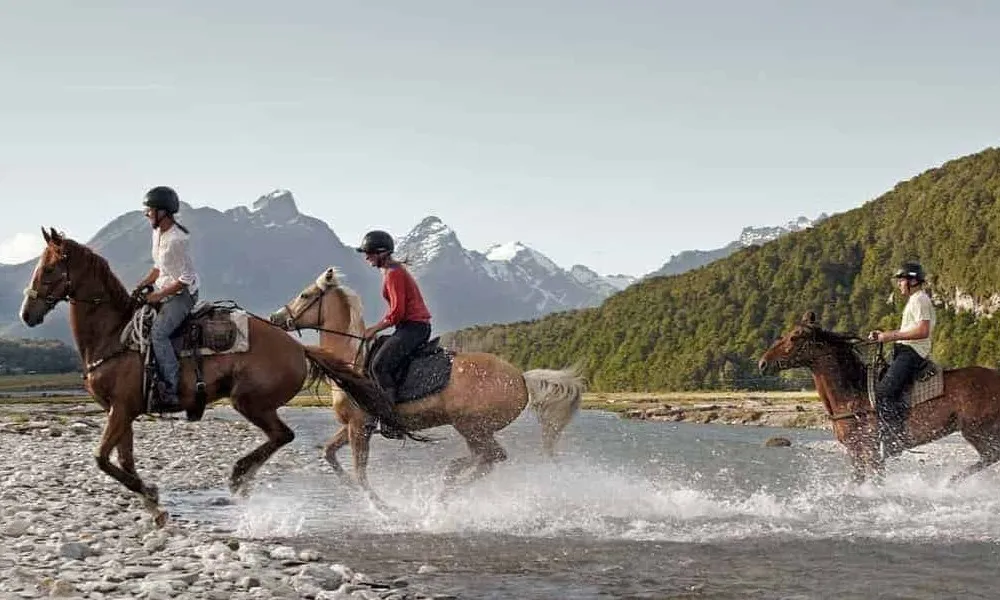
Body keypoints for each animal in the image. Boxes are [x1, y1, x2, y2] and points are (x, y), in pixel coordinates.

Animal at [19, 228, 402, 527]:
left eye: (49, 268)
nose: (27, 313)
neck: (114, 335)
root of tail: (297, 346)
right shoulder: (122, 411)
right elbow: (123, 460)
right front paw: (152, 503)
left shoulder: (122, 409)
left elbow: (101, 458)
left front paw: (152, 495)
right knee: (280, 438)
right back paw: (242, 480)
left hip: (249, 402)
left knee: (283, 435)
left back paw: (238, 476)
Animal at [268, 267, 586, 504]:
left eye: (305, 294)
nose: (275, 317)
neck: (350, 359)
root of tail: (521, 377)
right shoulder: (354, 425)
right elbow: (330, 454)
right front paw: (351, 489)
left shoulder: (359, 426)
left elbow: (361, 473)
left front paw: (384, 509)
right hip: (475, 429)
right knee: (486, 459)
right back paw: (447, 486)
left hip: (472, 425)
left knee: (491, 457)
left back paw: (446, 487)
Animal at [758, 311, 1000, 483]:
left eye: (794, 337)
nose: (762, 363)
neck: (852, 395)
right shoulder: (855, 452)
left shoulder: (871, 451)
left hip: (977, 430)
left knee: (991, 455)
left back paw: (950, 482)